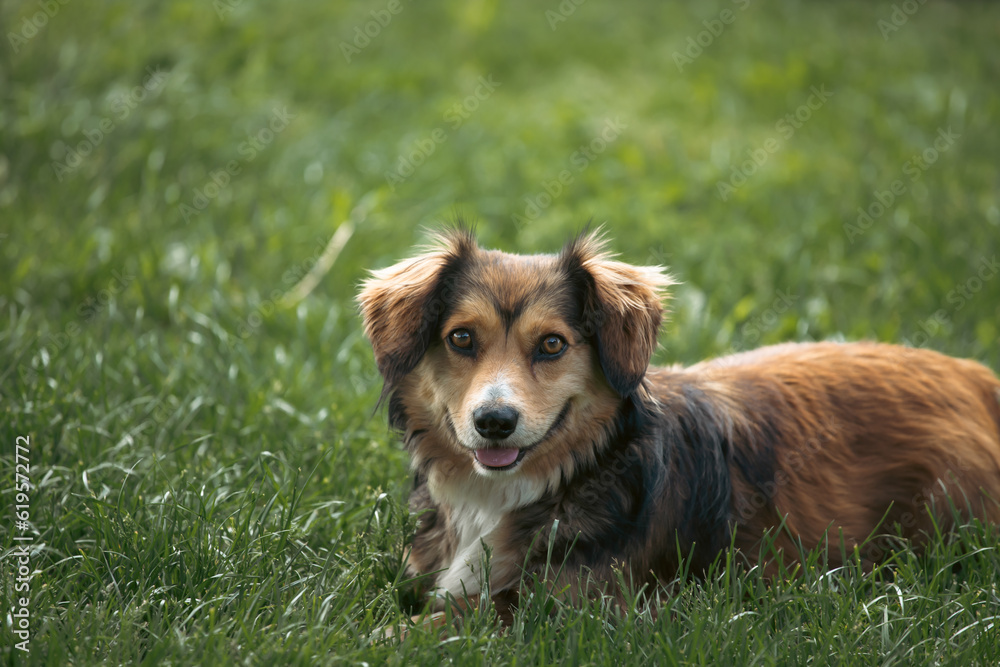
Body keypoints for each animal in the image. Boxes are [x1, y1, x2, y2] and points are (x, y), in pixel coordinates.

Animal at [358, 230, 1000, 628]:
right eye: (462, 338)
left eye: (552, 345)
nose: (494, 422)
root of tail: (978, 378)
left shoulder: (573, 612)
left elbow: (440, 626)